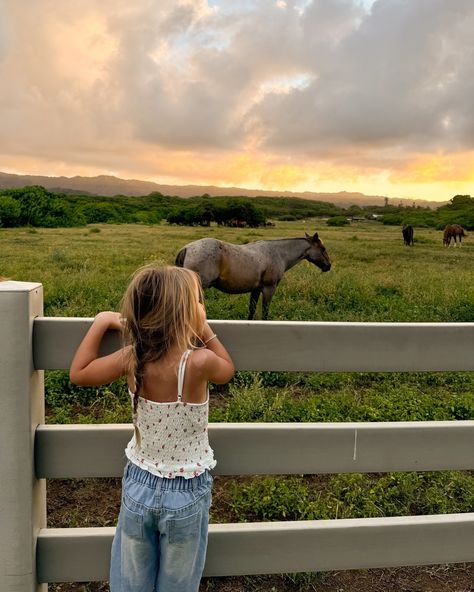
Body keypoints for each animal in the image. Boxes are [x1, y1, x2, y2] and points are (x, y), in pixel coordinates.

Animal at [176, 234, 332, 322]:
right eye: (323, 249)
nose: (328, 266)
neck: (278, 253)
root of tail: (187, 248)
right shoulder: (269, 288)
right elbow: (265, 311)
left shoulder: (256, 289)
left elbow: (252, 310)